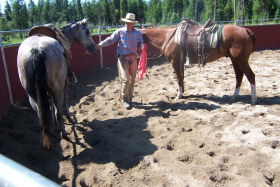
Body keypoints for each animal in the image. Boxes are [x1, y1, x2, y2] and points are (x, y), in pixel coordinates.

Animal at [17, 18, 96, 150]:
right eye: (87, 31)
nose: (93, 48)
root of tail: (37, 50)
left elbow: (50, 103)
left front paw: (53, 120)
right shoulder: (64, 83)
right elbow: (65, 101)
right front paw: (68, 116)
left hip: (32, 94)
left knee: (40, 114)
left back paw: (51, 133)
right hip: (57, 88)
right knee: (59, 109)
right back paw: (64, 134)